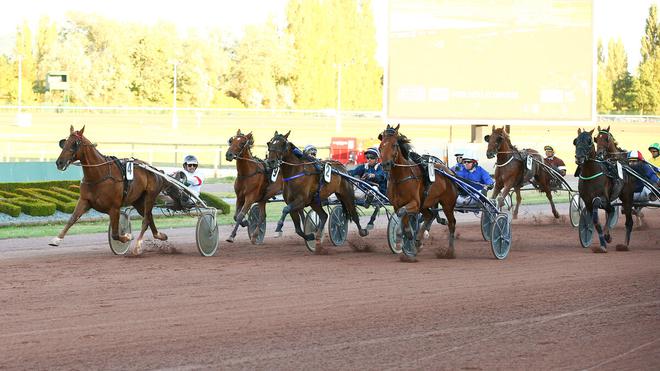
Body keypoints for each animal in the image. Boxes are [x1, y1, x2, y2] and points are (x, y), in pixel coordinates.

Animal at [51, 125, 168, 256]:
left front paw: (127, 237)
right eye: (64, 143)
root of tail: (156, 170)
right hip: (138, 201)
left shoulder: (114, 208)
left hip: (150, 196)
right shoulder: (85, 200)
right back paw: (160, 235)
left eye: (74, 144)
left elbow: (115, 234)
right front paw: (57, 239)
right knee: (149, 217)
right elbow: (72, 219)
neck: (99, 175)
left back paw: (138, 246)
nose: (59, 162)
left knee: (146, 220)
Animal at [376, 123, 458, 264]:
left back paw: (449, 252)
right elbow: (402, 216)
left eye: (394, 145)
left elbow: (402, 213)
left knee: (452, 223)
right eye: (381, 146)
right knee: (429, 215)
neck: (400, 178)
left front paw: (400, 238)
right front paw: (409, 241)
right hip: (425, 204)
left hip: (447, 204)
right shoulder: (398, 205)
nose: (386, 164)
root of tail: (449, 171)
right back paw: (418, 241)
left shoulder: (414, 203)